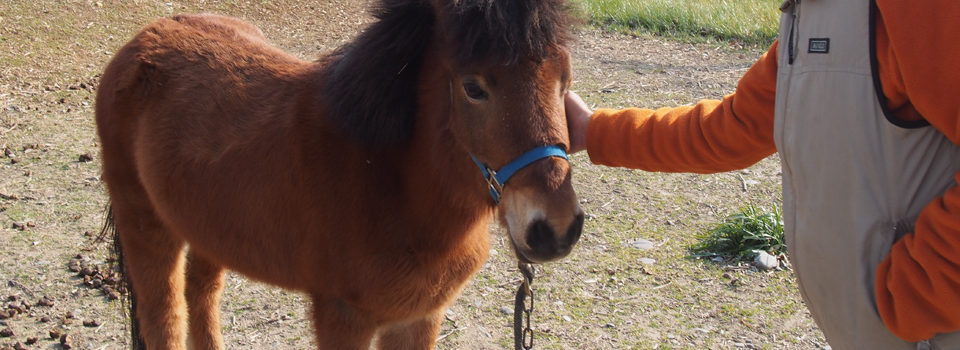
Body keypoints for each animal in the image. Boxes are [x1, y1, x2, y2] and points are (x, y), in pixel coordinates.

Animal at [95, 0, 584, 348]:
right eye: (473, 87)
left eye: (564, 78)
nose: (556, 230)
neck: (386, 181)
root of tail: (141, 42)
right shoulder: (343, 317)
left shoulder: (419, 317)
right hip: (145, 225)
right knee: (164, 317)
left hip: (207, 227)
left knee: (202, 295)